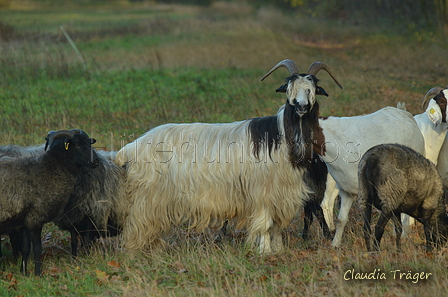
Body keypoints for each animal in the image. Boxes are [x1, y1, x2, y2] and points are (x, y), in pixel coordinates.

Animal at [0, 130, 98, 276]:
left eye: (89, 142)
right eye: (77, 144)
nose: (95, 161)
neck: (51, 168)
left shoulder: (24, 221)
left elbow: (25, 249)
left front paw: (24, 273)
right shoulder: (35, 218)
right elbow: (37, 248)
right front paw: (38, 274)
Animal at [115, 59, 344, 252]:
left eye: (312, 89)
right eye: (288, 88)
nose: (301, 106)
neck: (280, 136)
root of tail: (129, 148)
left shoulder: (281, 194)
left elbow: (276, 226)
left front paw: (277, 250)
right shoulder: (262, 192)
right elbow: (265, 224)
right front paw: (264, 252)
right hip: (147, 196)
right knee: (137, 223)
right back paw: (134, 251)